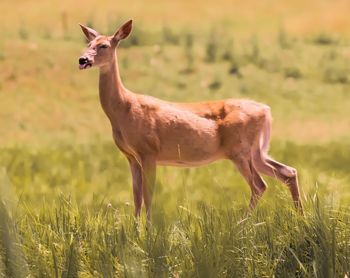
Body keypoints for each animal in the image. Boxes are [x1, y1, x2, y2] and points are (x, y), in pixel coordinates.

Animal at [78, 20, 302, 219]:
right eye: (88, 44)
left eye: (104, 45)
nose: (82, 60)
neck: (124, 108)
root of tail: (266, 110)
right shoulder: (131, 156)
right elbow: (136, 198)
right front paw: (136, 231)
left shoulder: (149, 151)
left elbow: (148, 196)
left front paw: (148, 233)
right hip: (257, 151)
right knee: (288, 172)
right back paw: (299, 217)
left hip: (239, 150)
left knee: (259, 185)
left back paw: (243, 224)